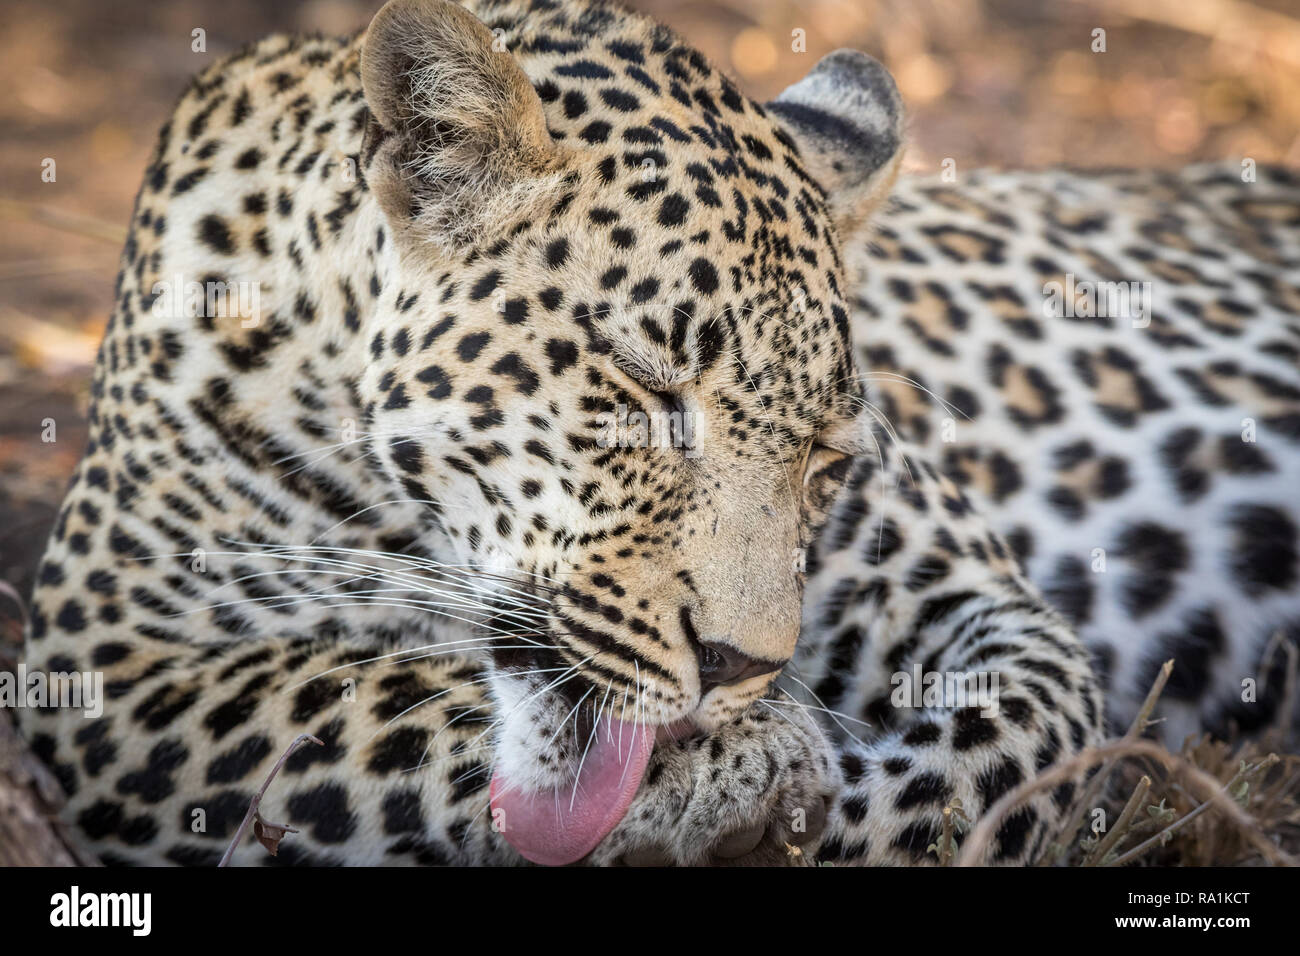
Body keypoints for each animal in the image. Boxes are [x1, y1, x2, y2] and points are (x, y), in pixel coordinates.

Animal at [12, 0, 1300, 868]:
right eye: (641, 388)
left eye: (825, 454)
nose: (737, 667)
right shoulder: (112, 663)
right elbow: (360, 696)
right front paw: (743, 766)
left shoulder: (985, 607)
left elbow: (999, 751)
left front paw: (774, 786)